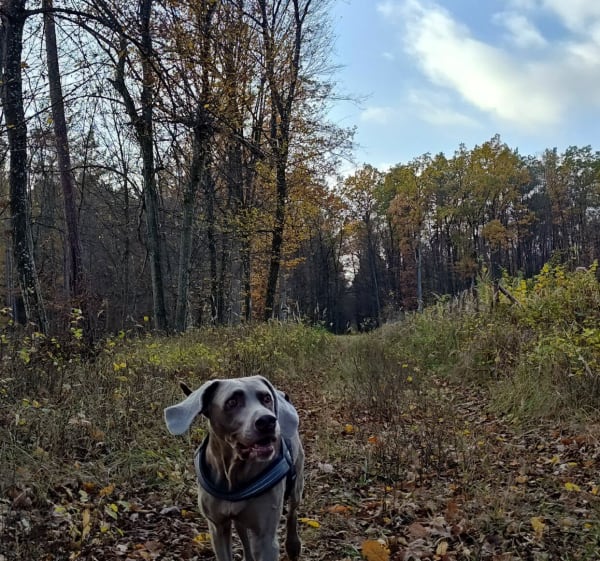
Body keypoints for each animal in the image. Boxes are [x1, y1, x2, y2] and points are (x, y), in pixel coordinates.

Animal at [164, 375, 304, 561]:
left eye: (266, 398)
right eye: (232, 402)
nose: (267, 421)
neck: (233, 473)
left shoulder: (265, 538)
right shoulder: (217, 527)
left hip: (297, 484)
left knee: (292, 513)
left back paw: (293, 545)